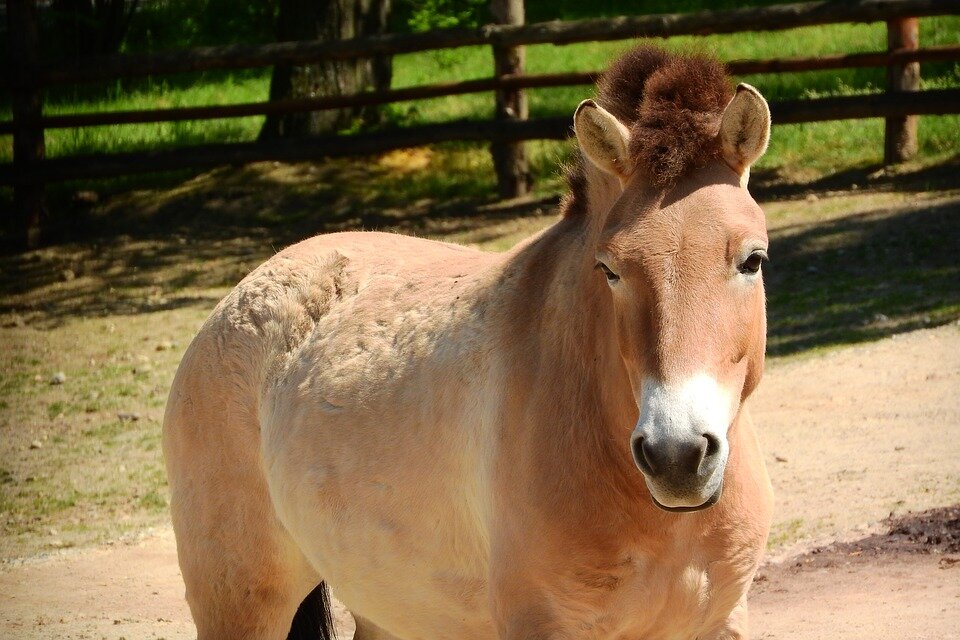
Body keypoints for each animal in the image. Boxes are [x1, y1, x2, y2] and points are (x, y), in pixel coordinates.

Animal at [165, 46, 776, 640]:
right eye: (609, 270)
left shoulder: (724, 622)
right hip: (240, 604)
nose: (677, 456)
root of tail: (241, 292)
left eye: (753, 259)